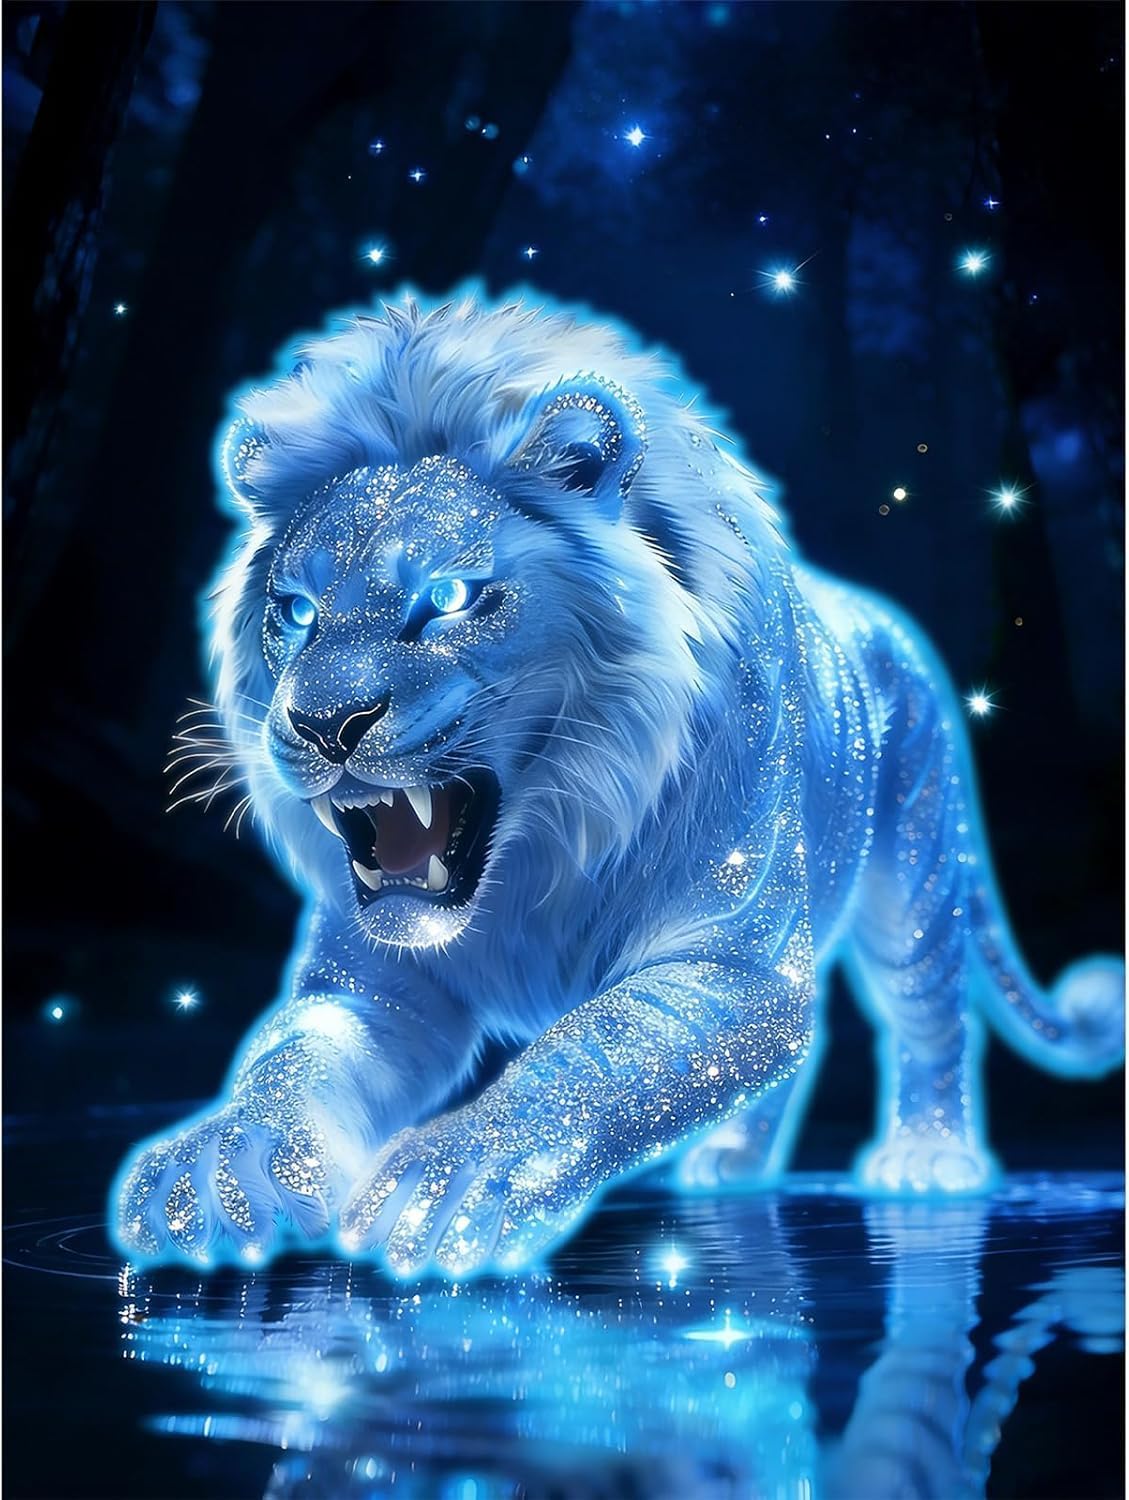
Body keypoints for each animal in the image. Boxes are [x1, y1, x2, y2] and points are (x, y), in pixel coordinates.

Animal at [111, 290, 1124, 1276]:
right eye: (295, 611)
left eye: (447, 598)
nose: (324, 726)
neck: (538, 858)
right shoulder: (372, 985)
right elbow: (290, 1059)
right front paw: (212, 1166)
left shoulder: (734, 961)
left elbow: (594, 1050)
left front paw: (453, 1181)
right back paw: (731, 1166)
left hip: (914, 863)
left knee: (929, 1010)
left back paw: (927, 1157)